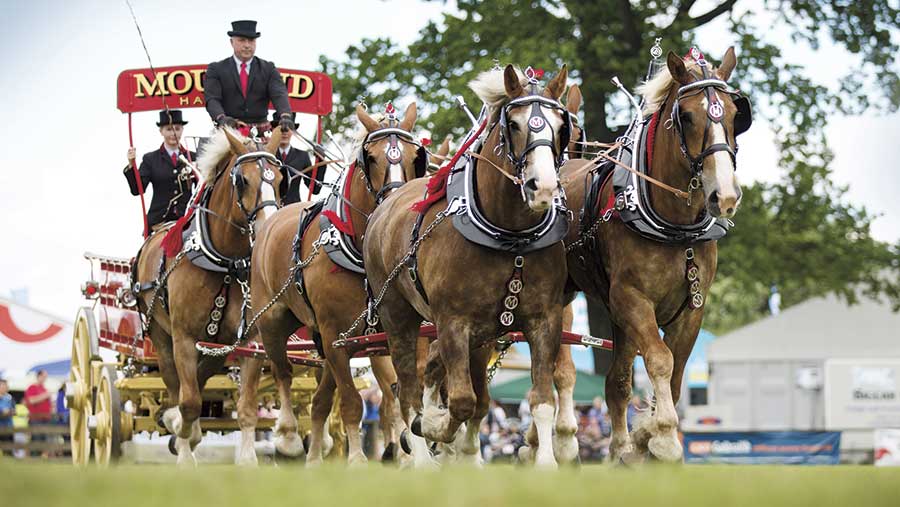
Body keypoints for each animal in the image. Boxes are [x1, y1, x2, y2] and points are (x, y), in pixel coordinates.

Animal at [132, 128, 282, 468]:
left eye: (281, 178)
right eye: (243, 180)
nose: (268, 230)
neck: (226, 262)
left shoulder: (251, 341)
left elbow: (247, 407)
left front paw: (248, 460)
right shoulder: (184, 338)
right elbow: (188, 401)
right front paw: (185, 452)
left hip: (216, 341)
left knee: (203, 375)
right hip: (161, 336)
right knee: (176, 384)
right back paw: (176, 424)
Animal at [243, 104, 426, 468]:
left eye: (417, 156)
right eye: (371, 158)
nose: (398, 204)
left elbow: (409, 395)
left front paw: (415, 452)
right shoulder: (336, 335)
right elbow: (353, 402)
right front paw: (356, 459)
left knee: (319, 400)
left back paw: (315, 456)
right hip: (271, 322)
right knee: (282, 371)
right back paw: (287, 436)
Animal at [364, 65, 568, 470]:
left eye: (560, 125)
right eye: (514, 124)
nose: (543, 186)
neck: (511, 237)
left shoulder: (544, 319)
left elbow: (540, 399)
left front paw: (545, 462)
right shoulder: (452, 321)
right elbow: (460, 401)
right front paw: (432, 426)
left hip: (481, 332)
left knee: (436, 375)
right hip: (399, 317)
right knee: (407, 390)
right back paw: (422, 451)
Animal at [564, 48, 744, 464]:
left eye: (733, 113)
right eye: (687, 115)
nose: (724, 196)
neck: (676, 228)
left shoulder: (691, 308)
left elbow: (675, 374)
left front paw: (644, 436)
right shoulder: (630, 298)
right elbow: (660, 359)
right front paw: (662, 436)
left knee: (615, 381)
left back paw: (618, 449)